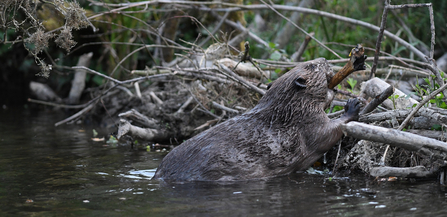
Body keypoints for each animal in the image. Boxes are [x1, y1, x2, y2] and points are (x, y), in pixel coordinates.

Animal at [152, 57, 362, 181]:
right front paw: (353, 105)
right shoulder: (307, 120)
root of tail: (158, 175)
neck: (286, 108)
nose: (324, 59)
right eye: (312, 65)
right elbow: (326, 134)